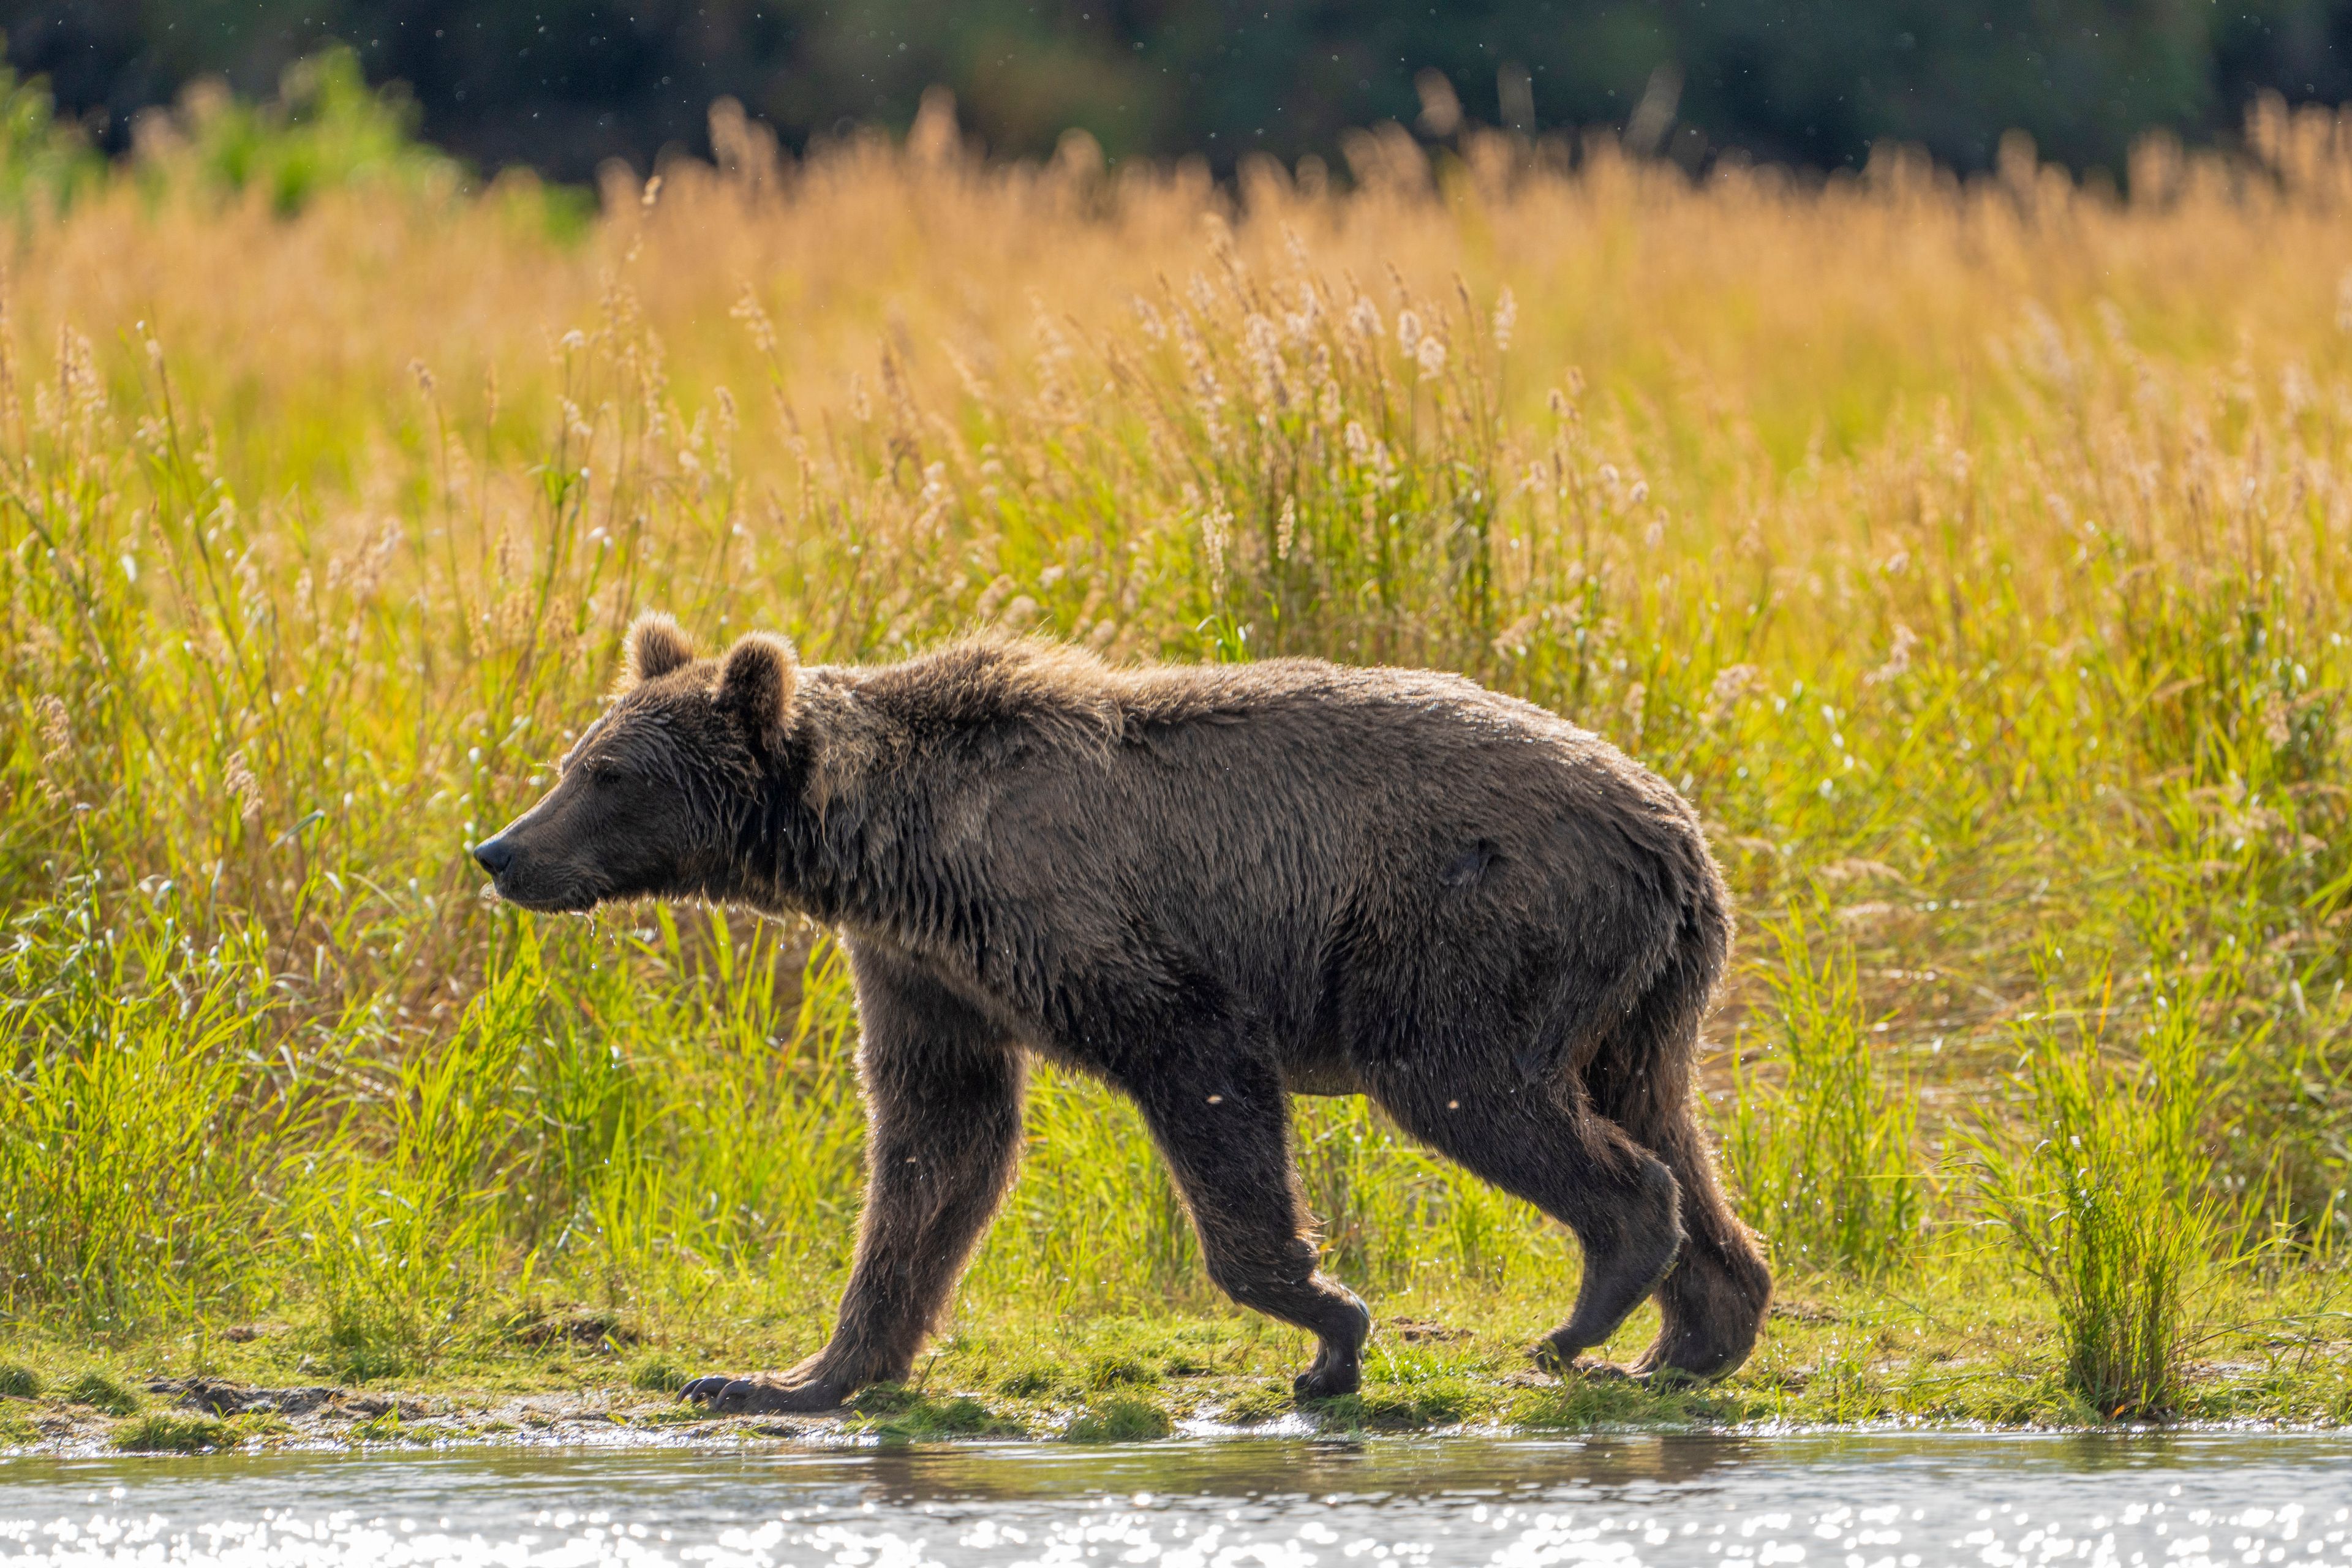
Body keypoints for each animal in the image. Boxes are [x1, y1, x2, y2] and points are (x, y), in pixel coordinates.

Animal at [472, 611, 1768, 1410]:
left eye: (605, 774)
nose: (499, 851)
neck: (890, 849)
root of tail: (1673, 825)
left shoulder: (1099, 934)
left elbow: (1201, 1083)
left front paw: (1328, 1330)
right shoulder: (925, 969)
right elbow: (936, 1147)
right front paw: (788, 1375)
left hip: (1473, 926)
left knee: (1478, 1088)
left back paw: (1588, 1313)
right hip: (1646, 984)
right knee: (1663, 1116)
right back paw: (1692, 1336)